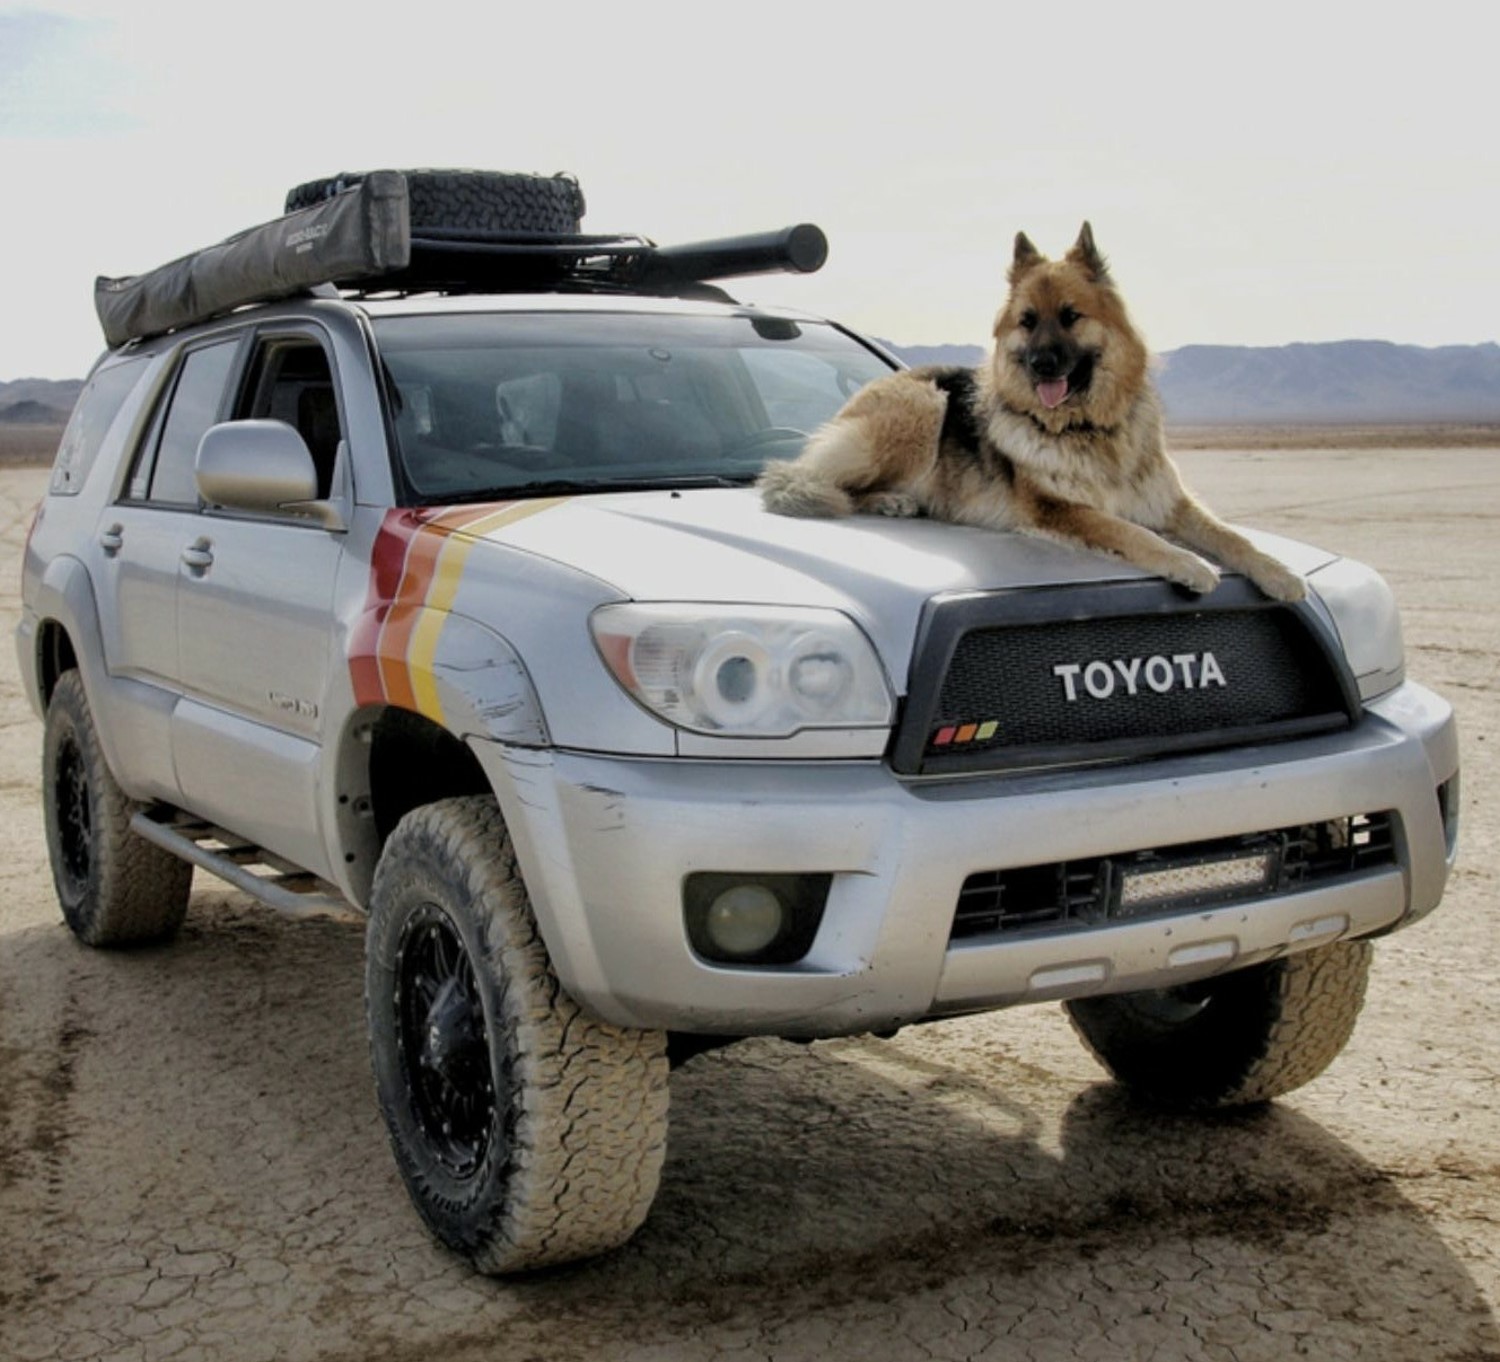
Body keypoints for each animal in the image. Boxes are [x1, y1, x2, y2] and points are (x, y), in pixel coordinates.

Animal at [756, 225, 1308, 600]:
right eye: (1027, 321)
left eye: (1070, 316)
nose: (1042, 365)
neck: (1088, 427)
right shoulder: (1060, 509)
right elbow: (1130, 532)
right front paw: (1188, 563)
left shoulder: (1171, 503)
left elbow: (1230, 535)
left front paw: (1279, 573)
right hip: (923, 405)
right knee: (822, 480)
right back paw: (888, 499)